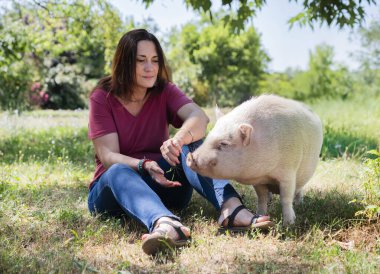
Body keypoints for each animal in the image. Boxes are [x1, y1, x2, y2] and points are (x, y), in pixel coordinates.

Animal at [186, 94, 322, 225]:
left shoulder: (288, 173)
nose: (190, 157)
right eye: (208, 136)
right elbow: (261, 198)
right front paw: (260, 215)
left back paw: (299, 204)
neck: (266, 172)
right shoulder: (259, 180)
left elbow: (286, 198)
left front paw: (289, 224)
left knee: (299, 190)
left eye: (224, 144)